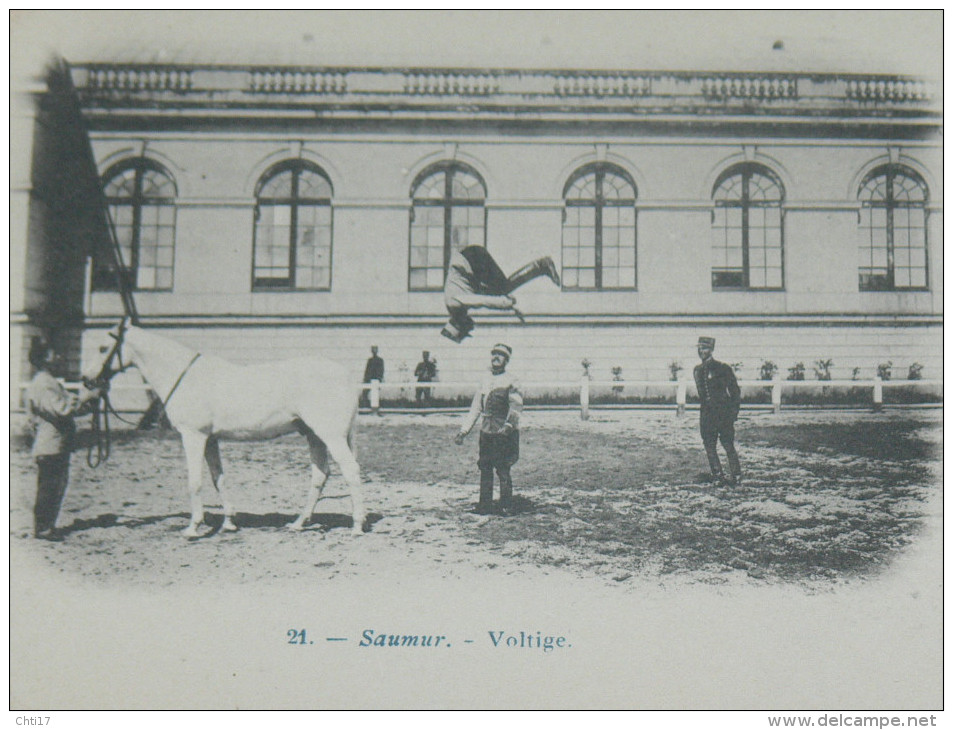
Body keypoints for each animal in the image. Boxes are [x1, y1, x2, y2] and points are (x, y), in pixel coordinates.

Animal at [85, 318, 364, 536]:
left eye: (103, 348)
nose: (87, 381)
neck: (184, 377)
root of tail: (346, 376)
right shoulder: (210, 439)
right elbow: (218, 477)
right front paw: (228, 524)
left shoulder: (193, 436)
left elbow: (195, 481)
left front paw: (192, 528)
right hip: (313, 435)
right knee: (320, 475)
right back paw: (298, 524)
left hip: (331, 436)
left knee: (350, 471)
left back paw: (357, 526)